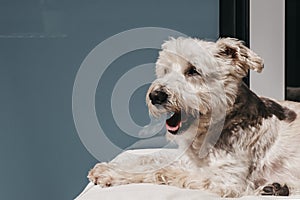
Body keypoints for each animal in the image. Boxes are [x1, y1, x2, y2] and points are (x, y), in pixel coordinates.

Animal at [87, 36, 300, 198]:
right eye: (165, 70)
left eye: (193, 71)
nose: (156, 95)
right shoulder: (189, 159)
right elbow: (153, 158)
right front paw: (108, 166)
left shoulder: (226, 181)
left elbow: (161, 171)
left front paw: (111, 173)